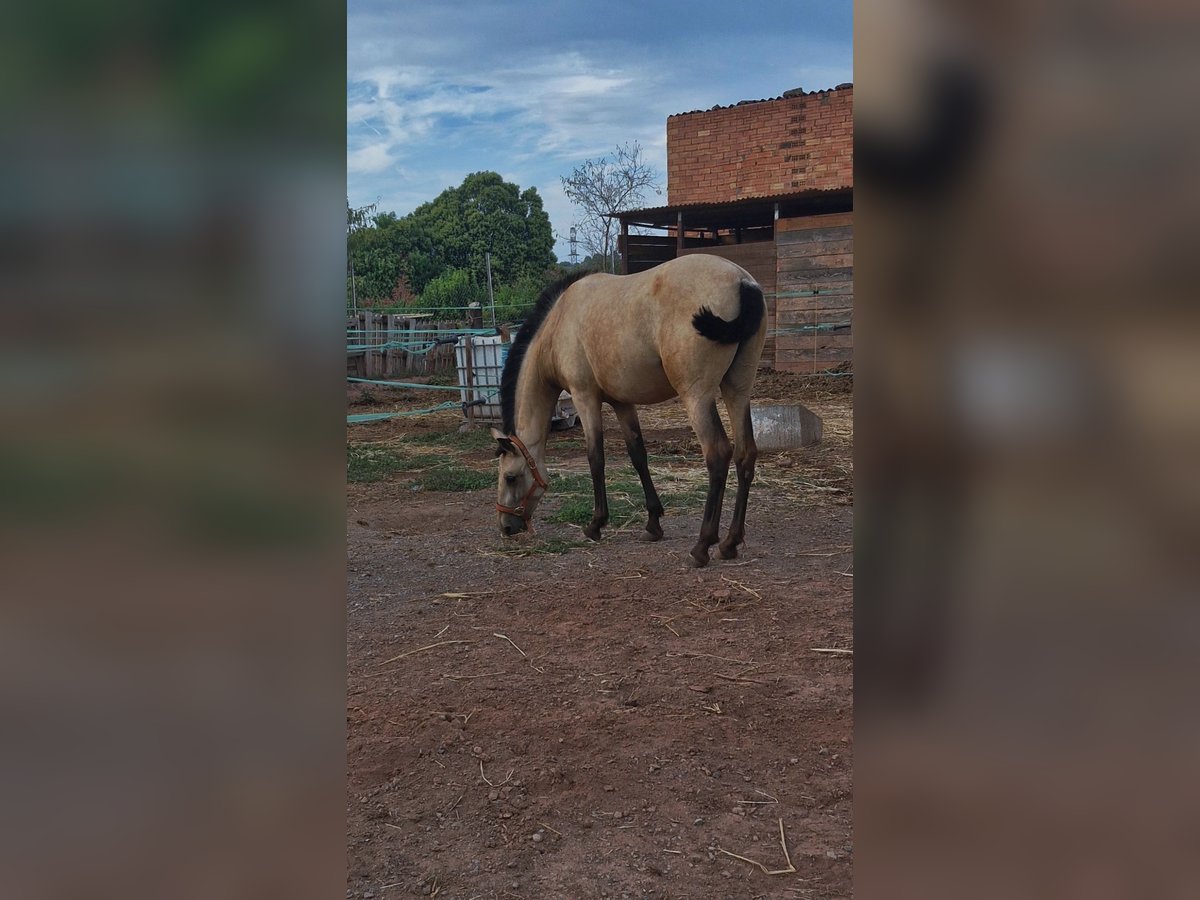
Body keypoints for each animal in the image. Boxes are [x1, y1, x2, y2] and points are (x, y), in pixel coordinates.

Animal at [491, 253, 766, 568]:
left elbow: (595, 458)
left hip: (697, 396)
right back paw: (730, 543)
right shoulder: (622, 403)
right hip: (737, 390)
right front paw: (653, 524)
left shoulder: (585, 397)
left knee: (718, 454)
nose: (506, 527)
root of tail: (741, 281)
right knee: (745, 454)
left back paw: (702, 545)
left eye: (510, 477)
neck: (558, 324)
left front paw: (596, 524)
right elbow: (638, 456)